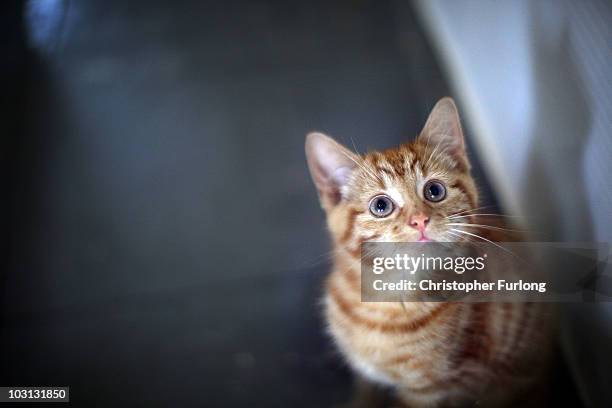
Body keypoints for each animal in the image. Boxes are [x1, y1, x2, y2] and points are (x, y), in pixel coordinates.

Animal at [306, 99, 556, 408]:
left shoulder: (436, 390)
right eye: (380, 206)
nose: (419, 220)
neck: (386, 301)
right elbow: (366, 393)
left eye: (434, 190)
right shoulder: (368, 376)